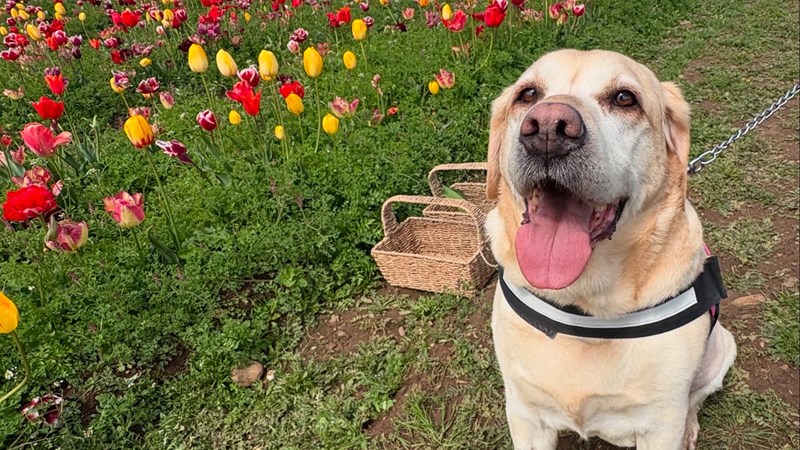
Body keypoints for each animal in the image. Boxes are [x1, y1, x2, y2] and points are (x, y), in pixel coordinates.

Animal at [485, 49, 737, 449]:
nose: (547, 128)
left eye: (624, 98)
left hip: (722, 349)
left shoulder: (661, 424)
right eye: (528, 94)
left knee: (694, 398)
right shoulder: (525, 414)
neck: (584, 306)